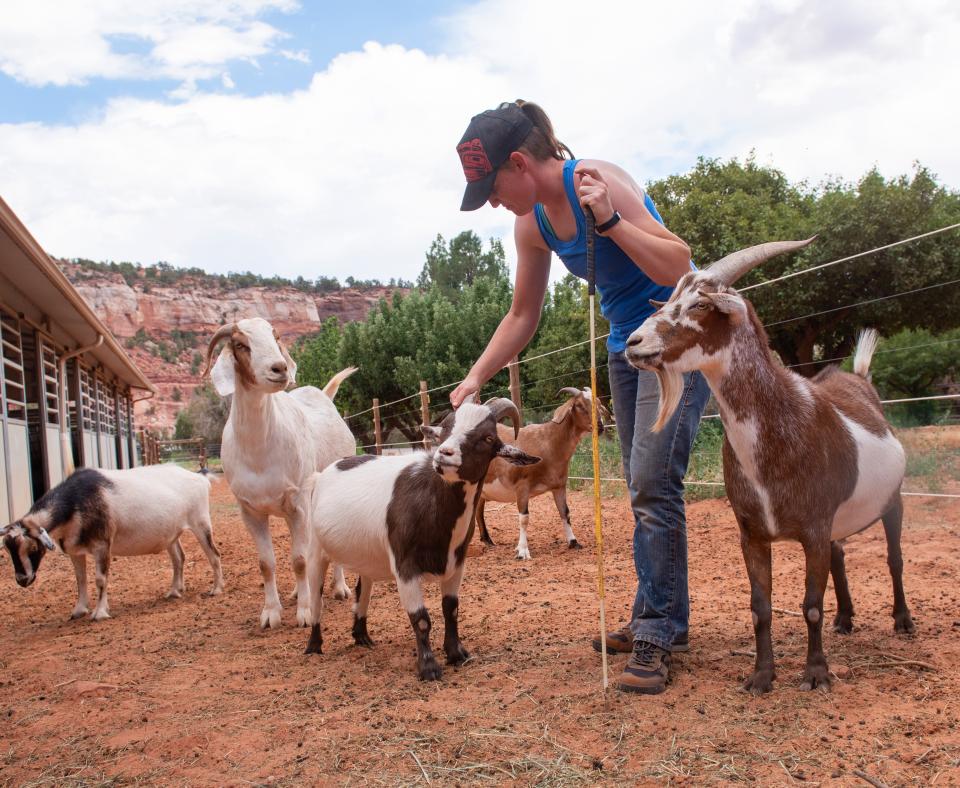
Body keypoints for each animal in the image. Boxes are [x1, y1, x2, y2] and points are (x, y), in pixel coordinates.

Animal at [0, 462, 221, 620]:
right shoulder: (75, 551)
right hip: (172, 534)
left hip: (200, 521)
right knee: (179, 559)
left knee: (214, 554)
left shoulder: (102, 545)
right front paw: (79, 610)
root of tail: (199, 477)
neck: (76, 501)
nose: (22, 579)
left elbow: (100, 579)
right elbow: (80, 580)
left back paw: (216, 589)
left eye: (32, 547)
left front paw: (100, 613)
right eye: (9, 550)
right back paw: (174, 591)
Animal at [203, 318, 356, 632]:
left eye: (275, 337)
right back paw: (300, 590)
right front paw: (271, 614)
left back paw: (338, 588)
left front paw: (305, 613)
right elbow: (266, 563)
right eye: (240, 344)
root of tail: (323, 395)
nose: (279, 368)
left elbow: (299, 559)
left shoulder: (298, 503)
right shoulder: (250, 511)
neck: (259, 451)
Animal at [302, 398, 536, 680]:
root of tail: (322, 475)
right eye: (445, 429)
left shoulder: (456, 563)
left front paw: (456, 654)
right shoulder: (405, 566)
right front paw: (429, 668)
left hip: (367, 555)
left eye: (488, 437)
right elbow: (421, 618)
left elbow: (451, 609)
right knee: (316, 597)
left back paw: (361, 636)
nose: (444, 454)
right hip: (315, 549)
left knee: (363, 587)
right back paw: (314, 646)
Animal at [476, 384, 612, 556]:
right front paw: (522, 551)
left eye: (598, 403)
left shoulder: (559, 486)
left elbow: (565, 512)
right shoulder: (522, 486)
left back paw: (487, 540)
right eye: (579, 405)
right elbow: (524, 518)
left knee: (478, 510)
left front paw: (573, 542)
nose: (600, 427)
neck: (548, 443)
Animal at [624, 239, 916, 696]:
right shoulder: (752, 534)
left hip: (893, 500)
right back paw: (845, 618)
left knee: (894, 558)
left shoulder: (813, 527)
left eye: (700, 305)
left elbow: (811, 605)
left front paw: (816, 674)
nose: (634, 342)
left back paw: (902, 621)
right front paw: (761, 676)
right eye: (669, 301)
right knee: (840, 556)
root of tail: (861, 379)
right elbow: (760, 606)